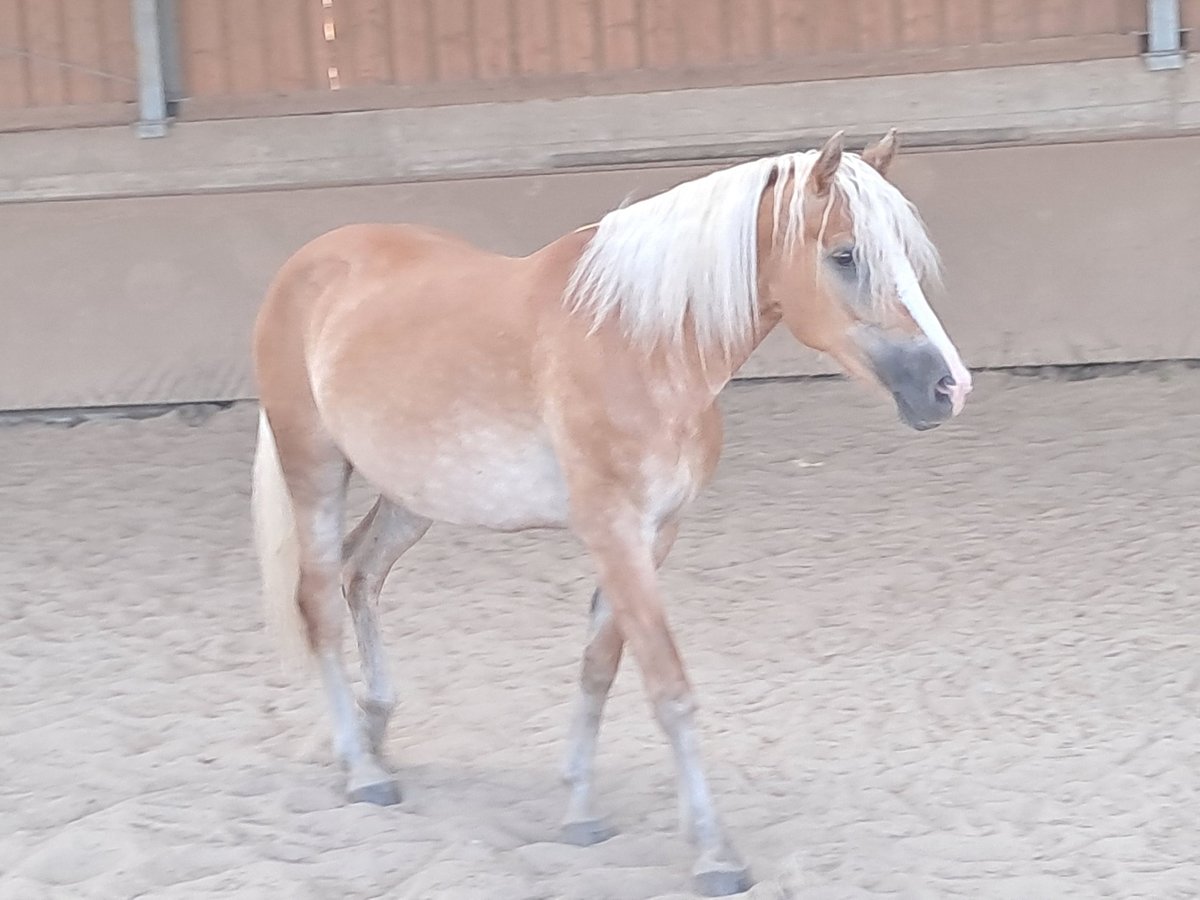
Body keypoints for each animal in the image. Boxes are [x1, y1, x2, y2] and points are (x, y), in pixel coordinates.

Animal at [248, 127, 969, 897]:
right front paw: (714, 854)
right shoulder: (614, 534)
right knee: (319, 601)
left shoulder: (654, 536)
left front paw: (580, 812)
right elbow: (669, 686)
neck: (641, 343)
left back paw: (374, 733)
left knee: (361, 574)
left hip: (414, 495)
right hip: (315, 470)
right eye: (843, 254)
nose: (949, 387)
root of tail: (308, 263)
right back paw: (361, 770)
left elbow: (599, 667)